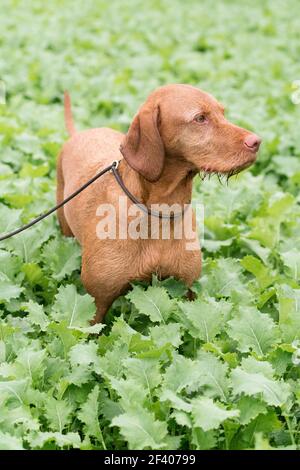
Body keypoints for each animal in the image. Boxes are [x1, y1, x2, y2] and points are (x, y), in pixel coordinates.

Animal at [56, 84, 260, 322]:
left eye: (223, 113)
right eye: (200, 118)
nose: (256, 142)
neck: (161, 212)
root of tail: (80, 133)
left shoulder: (187, 290)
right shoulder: (96, 303)